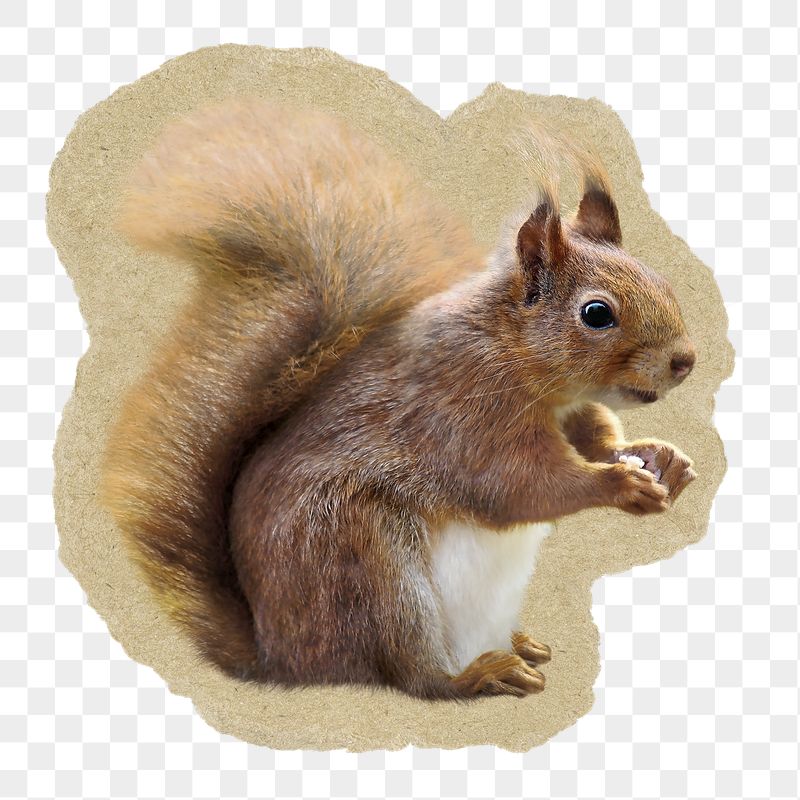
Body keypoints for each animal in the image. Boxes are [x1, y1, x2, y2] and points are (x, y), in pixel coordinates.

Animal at [100, 99, 697, 701]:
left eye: (663, 280)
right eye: (596, 313)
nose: (686, 360)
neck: (522, 362)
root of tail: (282, 660)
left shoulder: (572, 411)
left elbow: (595, 437)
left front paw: (661, 458)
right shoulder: (465, 414)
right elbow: (521, 486)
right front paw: (619, 484)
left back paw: (518, 644)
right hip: (369, 563)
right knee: (412, 676)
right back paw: (479, 674)